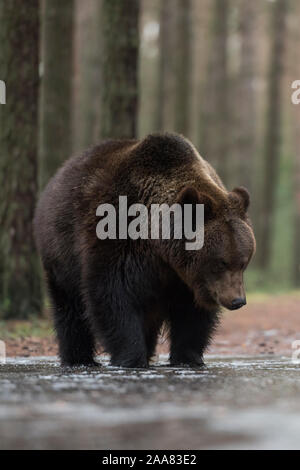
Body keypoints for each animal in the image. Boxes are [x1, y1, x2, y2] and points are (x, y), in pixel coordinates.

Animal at [34, 132, 255, 368]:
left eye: (243, 261)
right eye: (221, 262)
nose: (238, 300)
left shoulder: (185, 279)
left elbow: (191, 314)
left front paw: (188, 357)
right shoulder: (118, 240)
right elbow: (113, 297)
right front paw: (130, 357)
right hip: (62, 253)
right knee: (70, 308)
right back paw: (78, 358)